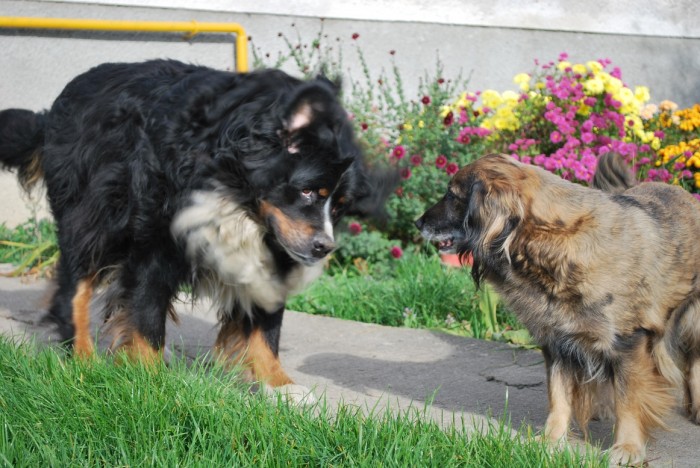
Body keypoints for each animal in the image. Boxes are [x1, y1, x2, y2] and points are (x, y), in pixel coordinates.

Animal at [0, 58, 388, 400]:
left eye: (338, 206)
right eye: (308, 191)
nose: (324, 246)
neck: (236, 192)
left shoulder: (275, 243)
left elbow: (265, 324)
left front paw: (281, 387)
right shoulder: (156, 233)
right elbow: (146, 309)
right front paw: (149, 380)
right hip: (93, 207)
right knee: (76, 281)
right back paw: (83, 360)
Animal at [416, 153, 700, 464]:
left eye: (452, 196)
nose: (417, 222)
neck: (553, 244)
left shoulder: (628, 342)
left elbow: (628, 400)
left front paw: (627, 448)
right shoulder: (557, 342)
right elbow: (559, 396)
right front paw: (550, 440)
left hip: (693, 319)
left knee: (693, 361)